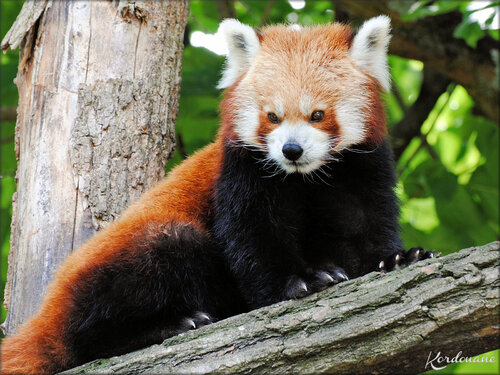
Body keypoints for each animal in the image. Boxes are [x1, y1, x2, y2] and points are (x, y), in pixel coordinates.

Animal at [0, 18, 432, 375]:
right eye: (272, 116)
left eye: (318, 115)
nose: (291, 150)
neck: (305, 179)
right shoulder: (241, 171)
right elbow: (252, 236)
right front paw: (301, 282)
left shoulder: (363, 168)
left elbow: (365, 225)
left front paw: (397, 258)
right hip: (127, 260)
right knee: (109, 310)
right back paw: (166, 326)